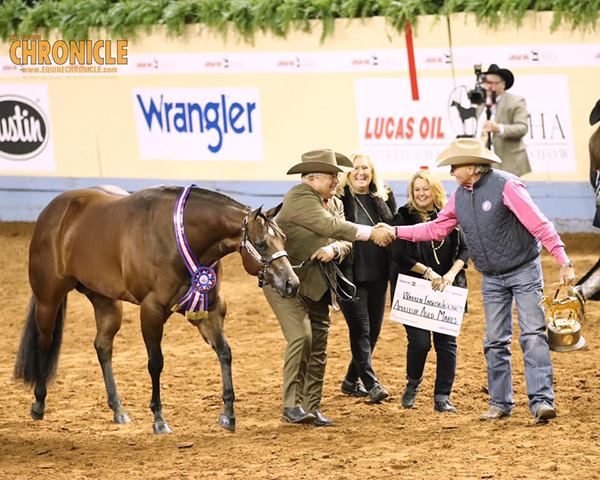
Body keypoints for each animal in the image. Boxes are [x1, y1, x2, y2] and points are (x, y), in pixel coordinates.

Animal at [15, 186, 300, 434]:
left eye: (284, 238)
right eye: (261, 243)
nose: (291, 283)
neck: (179, 238)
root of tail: (52, 211)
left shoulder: (209, 311)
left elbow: (225, 353)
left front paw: (228, 414)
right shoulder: (151, 311)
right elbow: (156, 363)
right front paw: (159, 419)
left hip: (106, 302)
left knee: (103, 346)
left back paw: (118, 409)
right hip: (48, 298)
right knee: (45, 341)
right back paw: (38, 403)